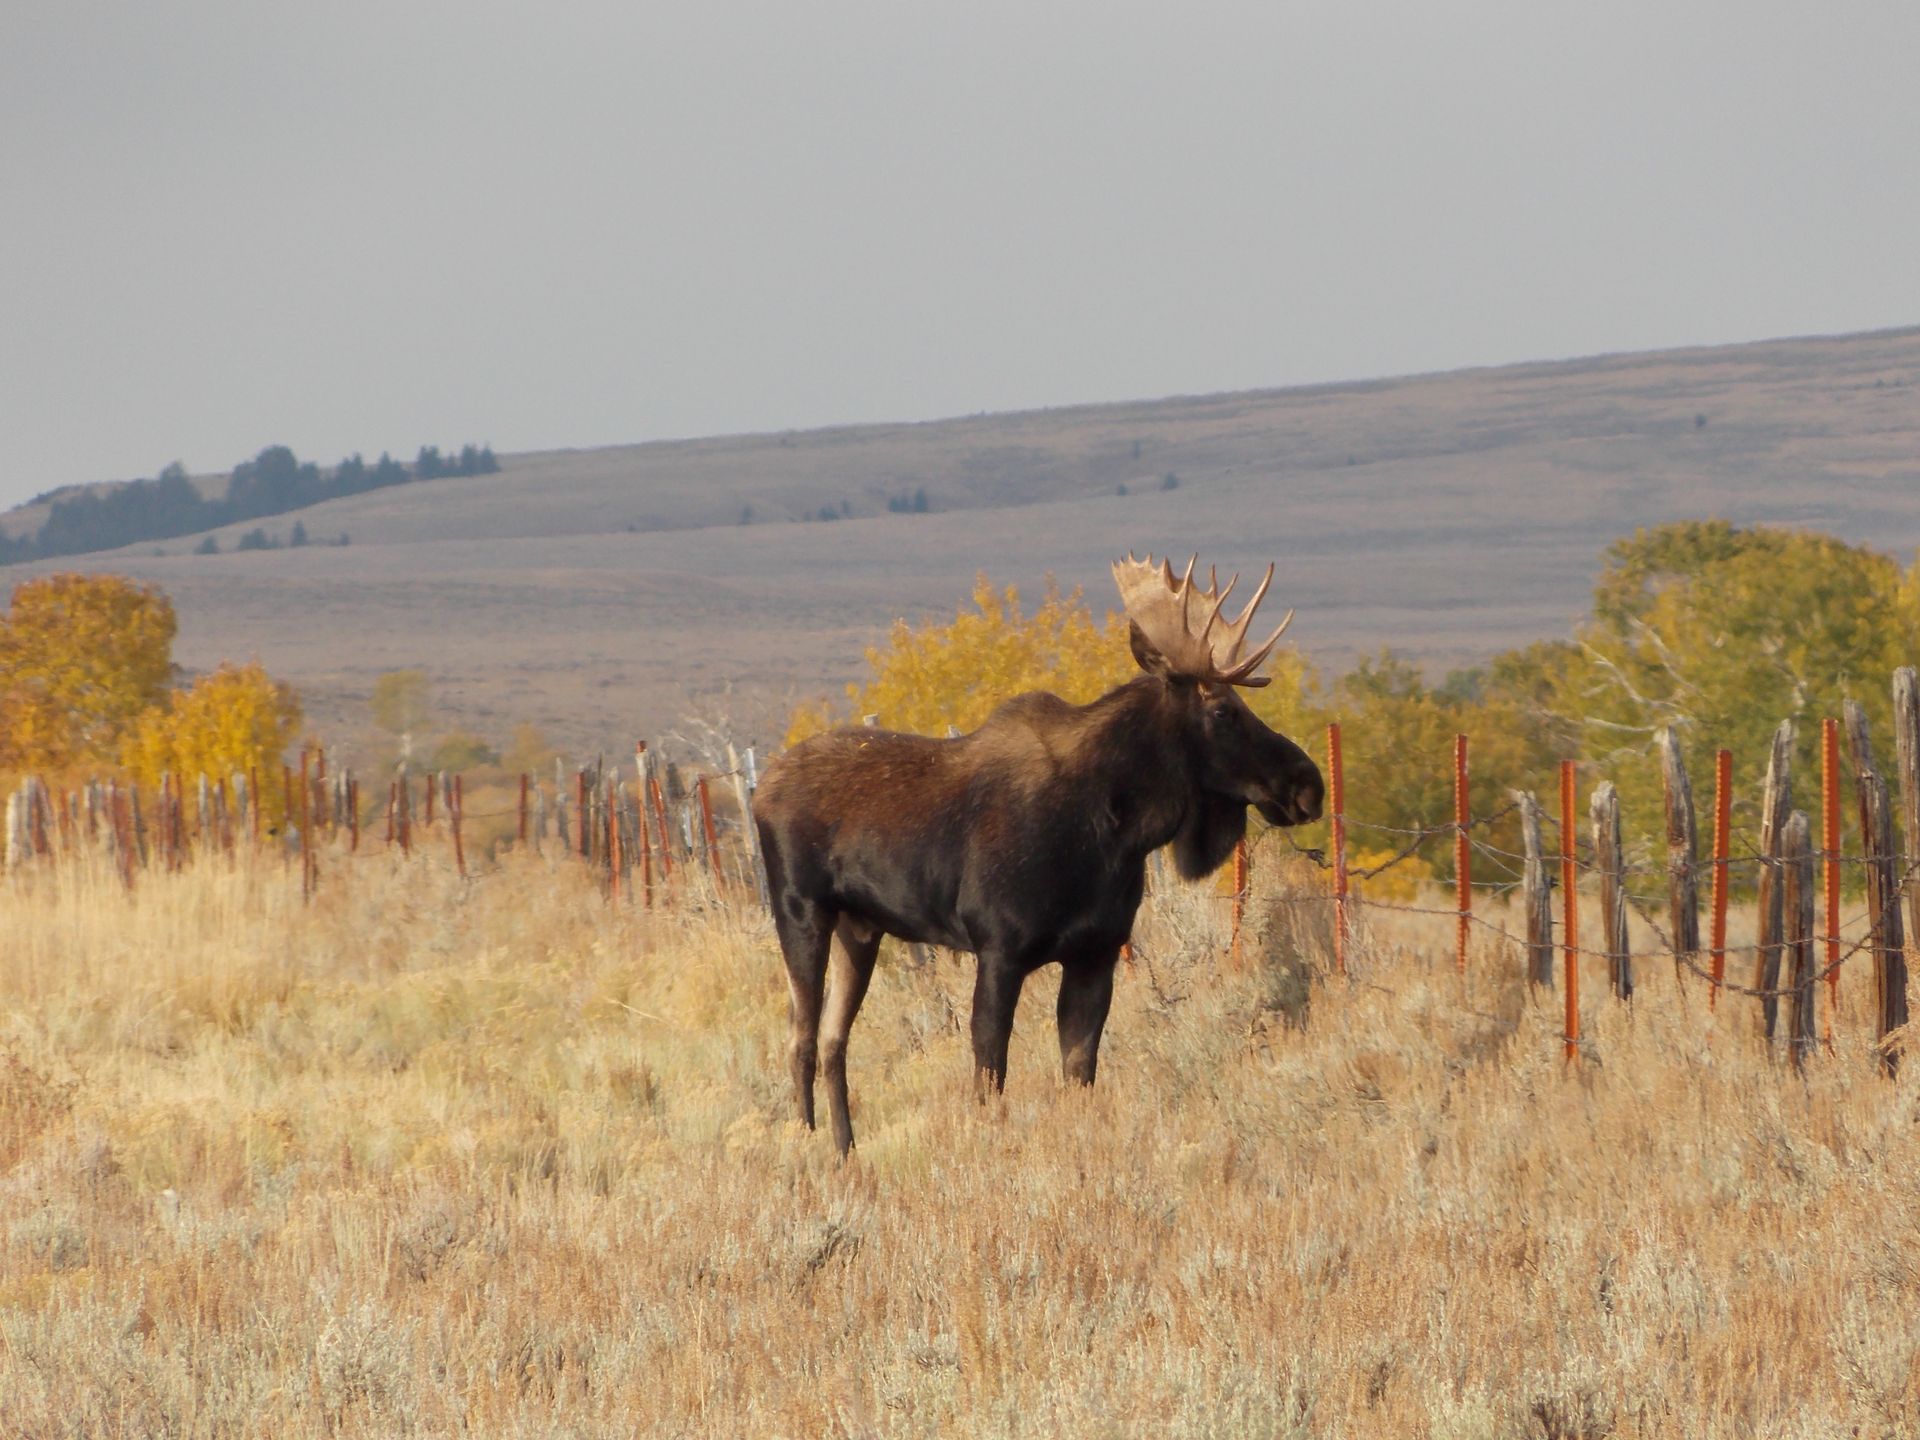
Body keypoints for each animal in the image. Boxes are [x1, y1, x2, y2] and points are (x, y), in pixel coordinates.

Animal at [752, 554, 1325, 1155]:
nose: (1309, 784)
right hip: (800, 912)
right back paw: (807, 1144)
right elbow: (990, 1077)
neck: (1118, 832)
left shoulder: (1096, 954)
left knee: (834, 1041)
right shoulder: (999, 949)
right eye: (1222, 710)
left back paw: (846, 1151)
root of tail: (760, 789)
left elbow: (1079, 1075)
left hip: (859, 929)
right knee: (800, 1040)